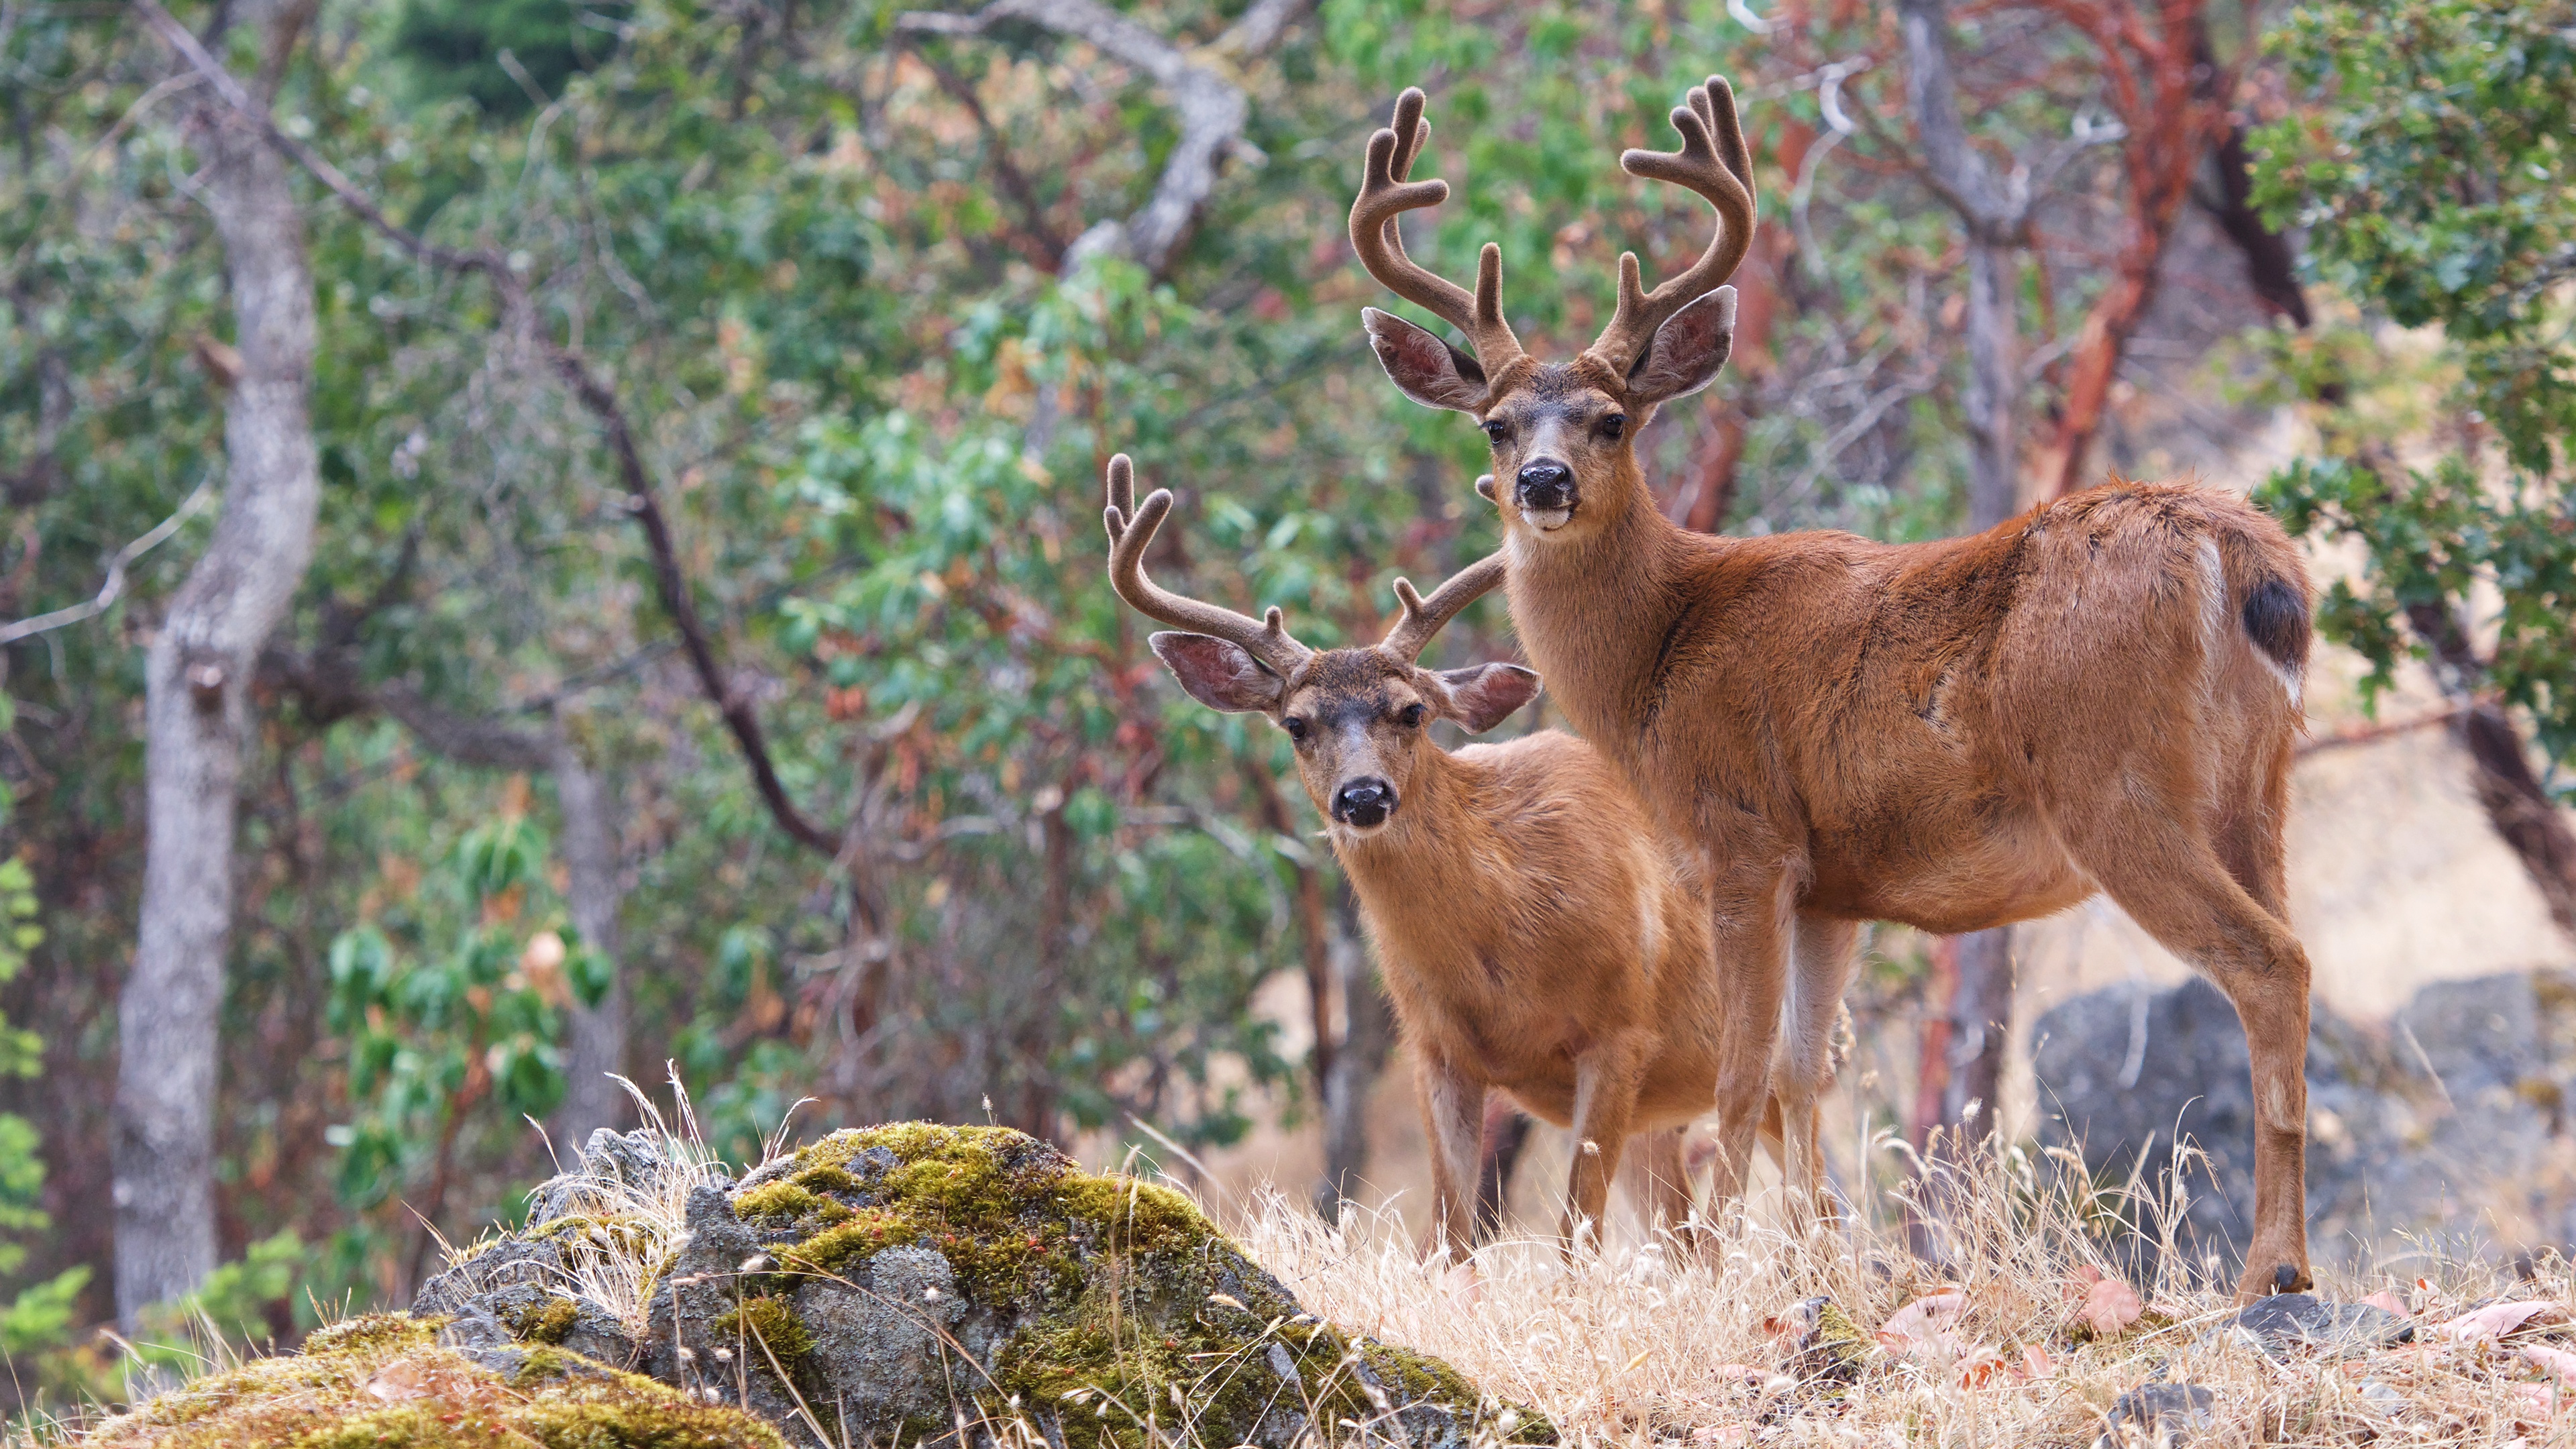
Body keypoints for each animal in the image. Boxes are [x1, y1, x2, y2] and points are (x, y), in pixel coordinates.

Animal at [1097, 453, 1762, 1252]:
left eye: (1412, 710)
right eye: (1296, 724)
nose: (1363, 796)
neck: (1505, 953)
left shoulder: (1621, 1030)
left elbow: (1575, 1236)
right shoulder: (1433, 1047)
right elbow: (1447, 1236)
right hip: (1658, 1121)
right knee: (1684, 1236)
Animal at [1360, 76, 2328, 1299]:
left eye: (1611, 418)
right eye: (1494, 421)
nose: (1540, 481)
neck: (1657, 654)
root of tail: (2242, 555)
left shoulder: (1744, 836)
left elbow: (1737, 1076)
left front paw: (1719, 1269)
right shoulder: (1834, 889)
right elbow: (1799, 1075)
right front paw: (1819, 1263)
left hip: (2113, 784)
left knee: (2270, 964)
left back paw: (2268, 1271)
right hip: (2262, 781)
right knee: (2298, 952)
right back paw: (2293, 1262)